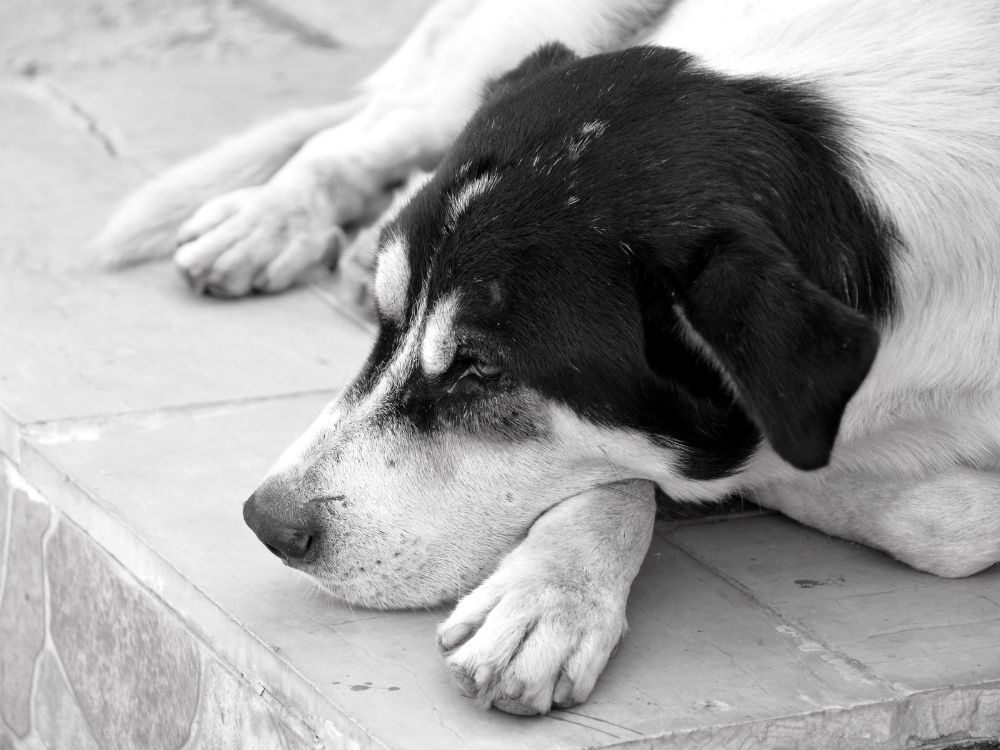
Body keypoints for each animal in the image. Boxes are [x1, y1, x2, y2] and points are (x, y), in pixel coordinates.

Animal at [90, 0, 996, 720]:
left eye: (482, 369)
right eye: (386, 321)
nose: (267, 523)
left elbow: (947, 523)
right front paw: (548, 600)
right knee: (372, 126)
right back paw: (269, 217)